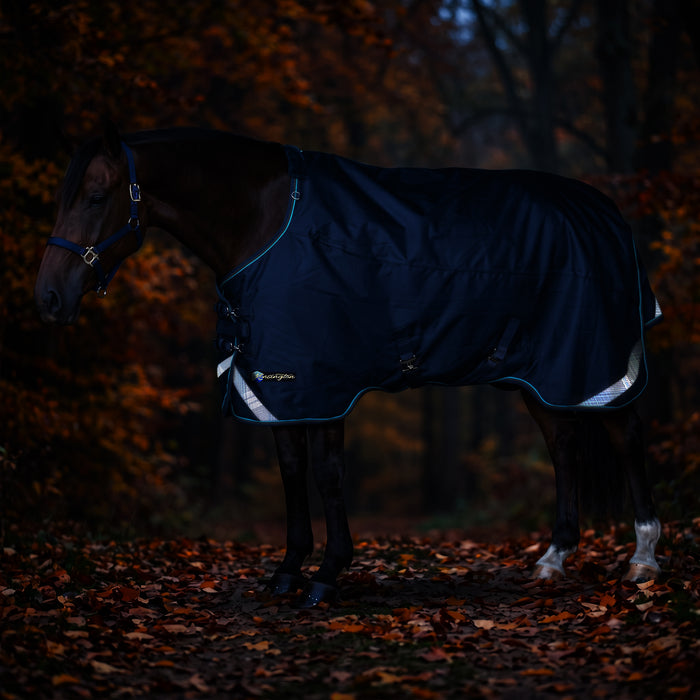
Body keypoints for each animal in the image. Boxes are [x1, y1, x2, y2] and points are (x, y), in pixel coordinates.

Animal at [35, 124, 662, 607]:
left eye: (96, 197)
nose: (48, 298)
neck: (266, 222)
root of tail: (605, 210)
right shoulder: (276, 383)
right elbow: (291, 470)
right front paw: (288, 571)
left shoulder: (323, 380)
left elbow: (328, 474)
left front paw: (328, 576)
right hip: (544, 373)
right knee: (565, 445)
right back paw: (553, 560)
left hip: (595, 361)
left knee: (626, 436)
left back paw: (643, 559)